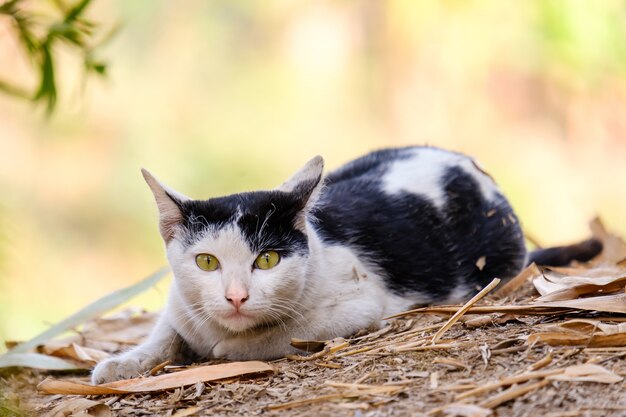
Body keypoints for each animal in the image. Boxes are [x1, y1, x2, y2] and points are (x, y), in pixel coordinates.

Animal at [90, 146, 596, 384]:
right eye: (207, 261)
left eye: (267, 259)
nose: (235, 297)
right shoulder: (179, 303)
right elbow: (166, 331)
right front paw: (120, 363)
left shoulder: (358, 304)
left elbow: (270, 338)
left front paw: (221, 350)